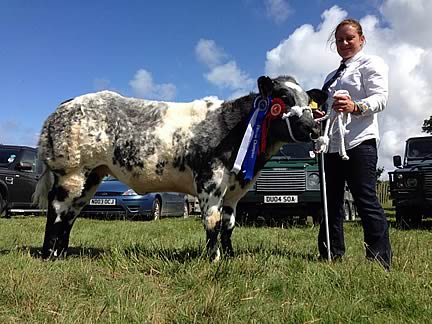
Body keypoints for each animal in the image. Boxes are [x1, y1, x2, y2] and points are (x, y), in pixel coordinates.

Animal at [33, 76, 326, 260]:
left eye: (308, 101)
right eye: (284, 97)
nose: (314, 128)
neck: (233, 127)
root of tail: (66, 105)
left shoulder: (234, 192)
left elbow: (229, 224)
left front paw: (230, 257)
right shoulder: (210, 181)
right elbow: (212, 222)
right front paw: (214, 259)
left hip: (92, 175)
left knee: (71, 213)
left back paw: (63, 253)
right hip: (71, 171)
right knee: (57, 209)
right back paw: (49, 254)